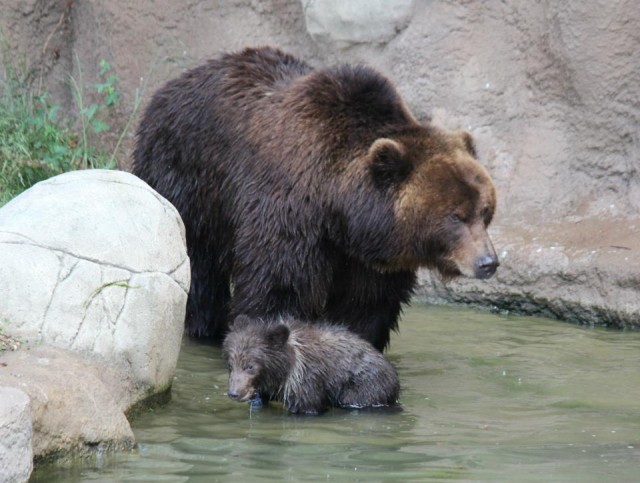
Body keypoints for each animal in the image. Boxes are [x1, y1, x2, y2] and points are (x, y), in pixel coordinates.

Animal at [131, 46, 500, 352]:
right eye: (456, 216)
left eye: (485, 211)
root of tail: (171, 84)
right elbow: (279, 288)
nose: (488, 262)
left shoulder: (369, 259)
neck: (341, 210)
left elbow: (366, 305)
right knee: (200, 263)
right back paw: (205, 327)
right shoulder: (289, 213)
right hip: (189, 177)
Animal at [222, 316, 398, 414]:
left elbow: (308, 406)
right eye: (231, 365)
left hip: (364, 386)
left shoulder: (305, 382)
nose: (234, 393)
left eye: (250, 366)